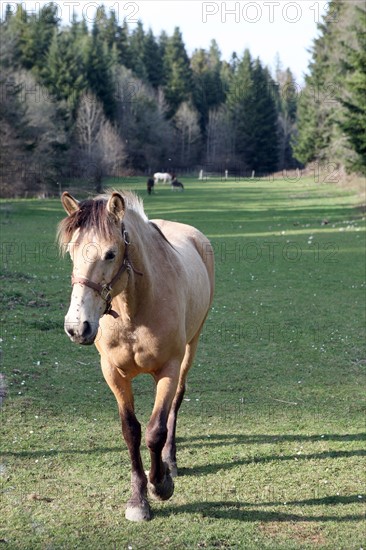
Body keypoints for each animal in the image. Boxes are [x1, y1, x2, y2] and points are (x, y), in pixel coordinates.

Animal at [57, 192, 214, 524]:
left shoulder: (168, 369)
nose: (77, 327)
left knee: (175, 404)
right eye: (72, 251)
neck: (135, 310)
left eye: (110, 253)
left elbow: (156, 431)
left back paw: (171, 461)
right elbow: (131, 431)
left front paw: (160, 484)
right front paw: (138, 499)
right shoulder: (113, 374)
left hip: (190, 349)